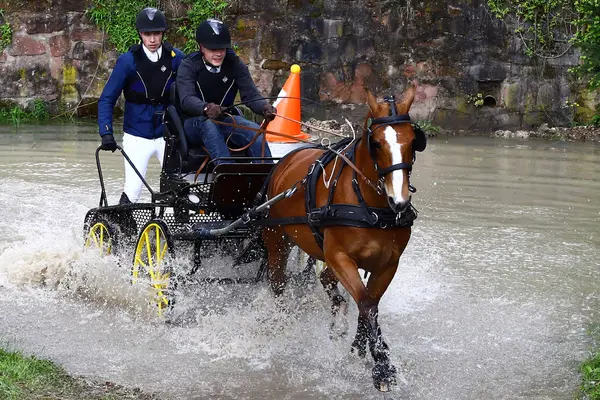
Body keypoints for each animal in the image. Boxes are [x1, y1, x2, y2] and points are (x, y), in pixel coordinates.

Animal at [260, 85, 424, 390]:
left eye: (412, 140)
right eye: (376, 143)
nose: (399, 202)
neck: (371, 204)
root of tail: (286, 160)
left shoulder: (387, 264)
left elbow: (369, 304)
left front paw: (358, 350)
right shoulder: (339, 257)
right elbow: (368, 304)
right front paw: (382, 366)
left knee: (326, 283)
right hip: (277, 239)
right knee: (278, 282)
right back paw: (281, 323)